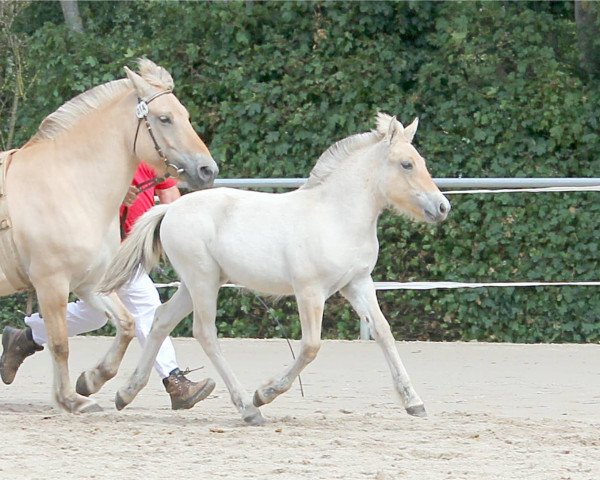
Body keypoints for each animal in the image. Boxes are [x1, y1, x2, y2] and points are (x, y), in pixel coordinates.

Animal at [0, 59, 218, 412]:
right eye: (164, 118)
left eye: (185, 115)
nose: (207, 170)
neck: (68, 184)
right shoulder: (51, 282)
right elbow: (60, 342)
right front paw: (72, 400)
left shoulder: (89, 283)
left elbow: (127, 325)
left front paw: (91, 381)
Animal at [102, 112, 450, 424]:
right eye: (406, 164)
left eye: (421, 161)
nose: (442, 206)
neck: (336, 216)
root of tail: (171, 209)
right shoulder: (309, 291)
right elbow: (310, 347)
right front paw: (265, 393)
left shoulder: (357, 283)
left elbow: (383, 331)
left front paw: (414, 403)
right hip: (202, 281)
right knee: (205, 332)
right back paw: (248, 407)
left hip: (195, 284)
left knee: (161, 320)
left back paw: (126, 394)